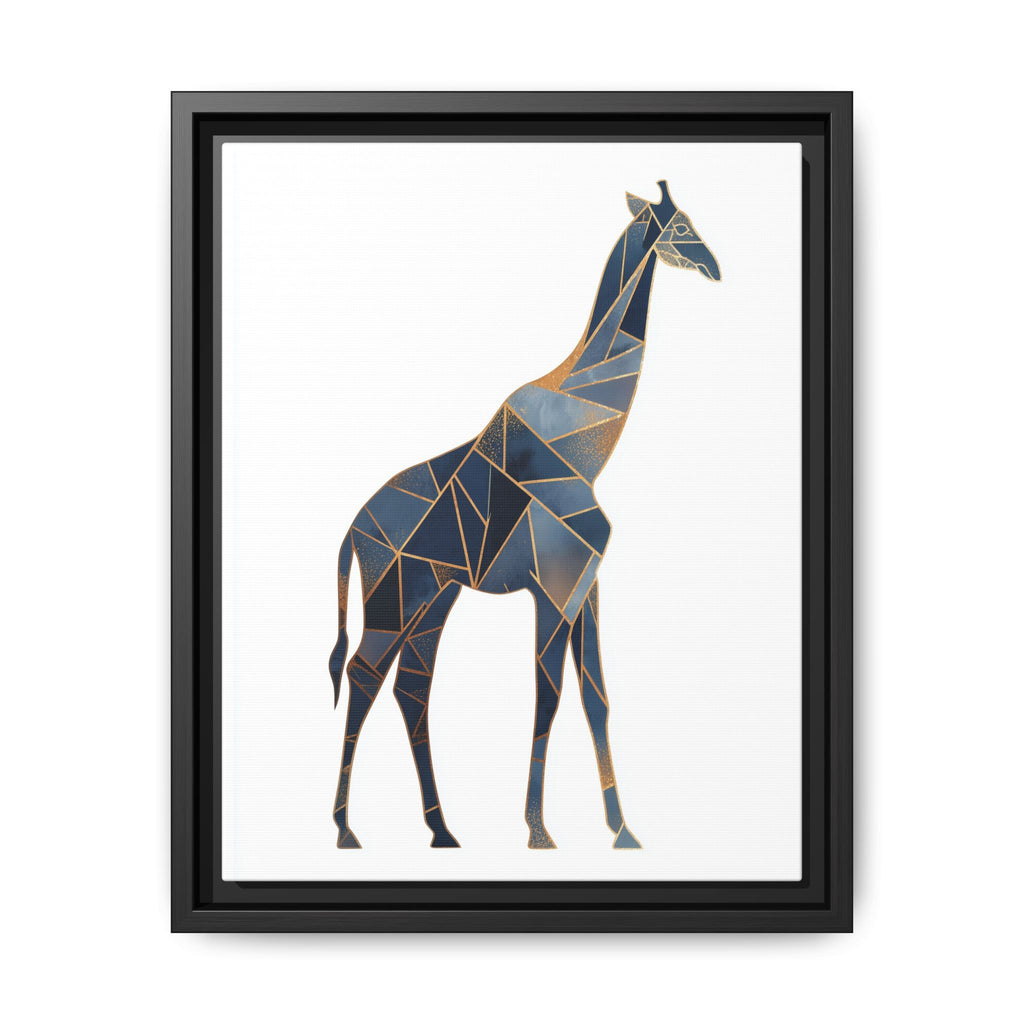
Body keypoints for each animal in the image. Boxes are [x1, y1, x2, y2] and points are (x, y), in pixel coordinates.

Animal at [328, 181, 721, 850]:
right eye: (680, 226)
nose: (714, 266)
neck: (587, 443)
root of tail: (353, 531)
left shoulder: (586, 585)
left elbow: (596, 697)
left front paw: (622, 831)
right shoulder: (554, 587)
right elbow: (550, 695)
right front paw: (539, 831)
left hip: (435, 598)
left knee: (411, 686)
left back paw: (442, 830)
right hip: (394, 596)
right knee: (362, 676)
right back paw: (346, 830)